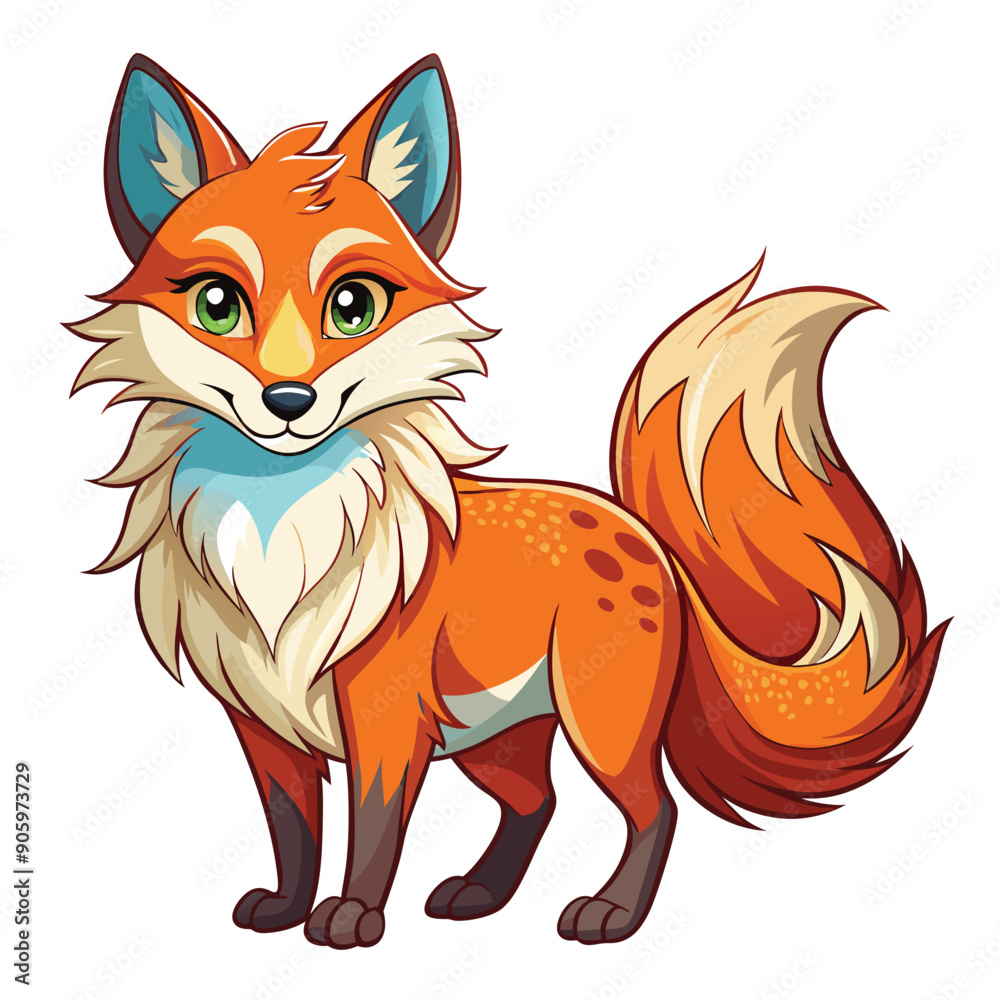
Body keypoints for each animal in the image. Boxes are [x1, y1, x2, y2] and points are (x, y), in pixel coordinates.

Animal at [71, 53, 947, 949]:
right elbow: (293, 828)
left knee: (654, 810)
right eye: (217, 304)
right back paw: (482, 894)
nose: (288, 400)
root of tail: (649, 540)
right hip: (496, 739)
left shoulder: (384, 715)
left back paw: (612, 914)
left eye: (353, 305)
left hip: (598, 723)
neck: (281, 537)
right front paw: (286, 908)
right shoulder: (259, 722)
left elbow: (372, 829)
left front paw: (351, 916)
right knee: (540, 803)